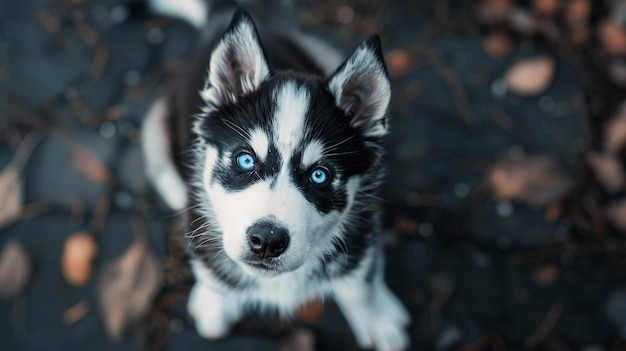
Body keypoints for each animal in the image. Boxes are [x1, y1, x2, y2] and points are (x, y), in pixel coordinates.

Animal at [140, 2, 410, 350]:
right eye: (244, 159)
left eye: (319, 176)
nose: (266, 241)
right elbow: (210, 269)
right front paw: (215, 301)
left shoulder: (361, 227)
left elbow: (359, 282)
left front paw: (376, 317)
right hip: (156, 140)